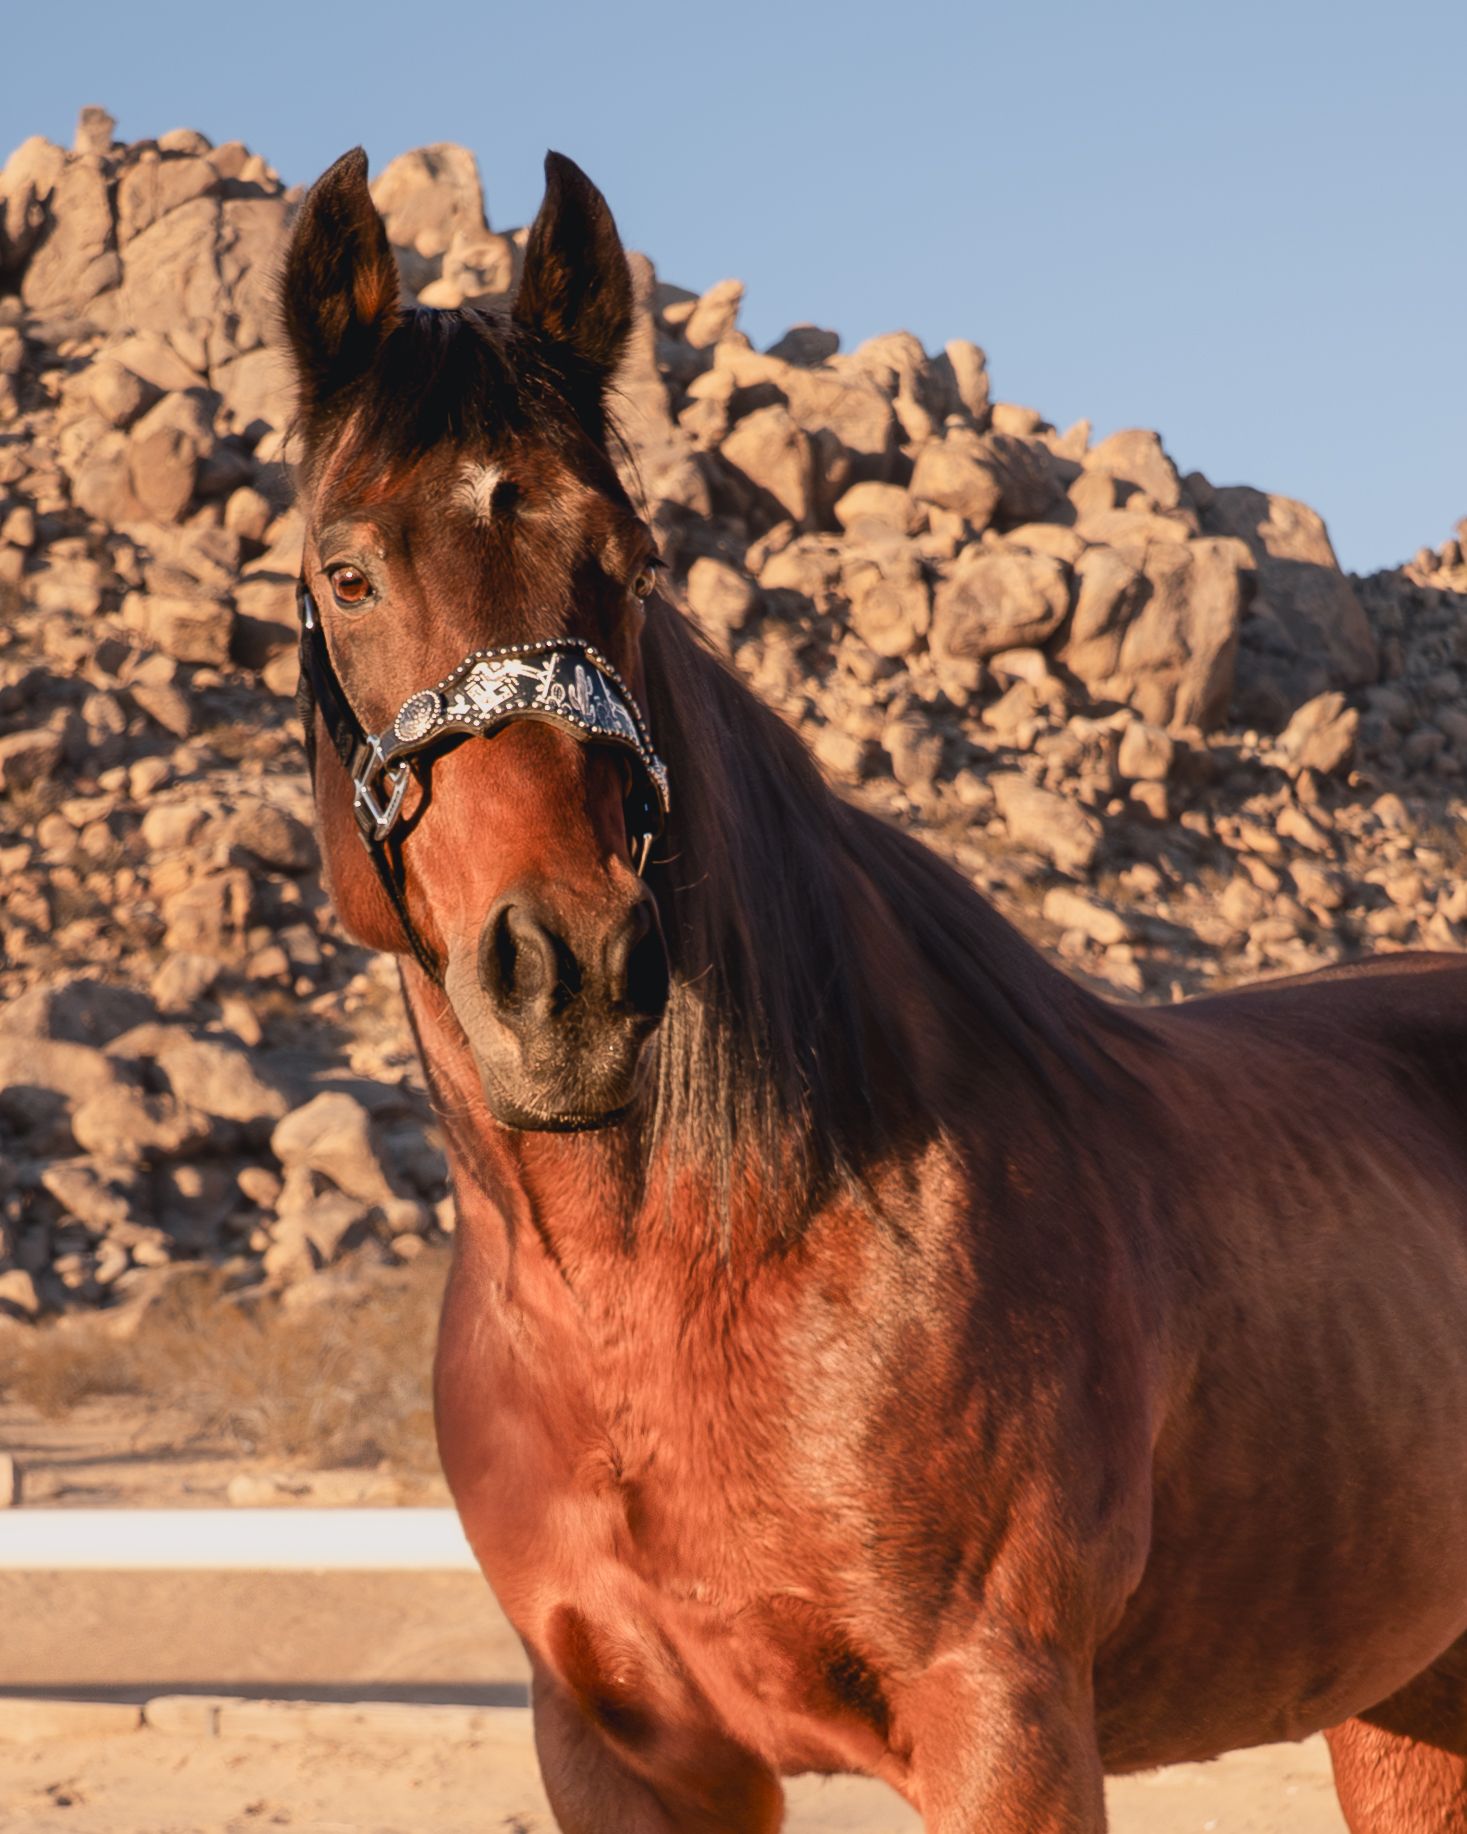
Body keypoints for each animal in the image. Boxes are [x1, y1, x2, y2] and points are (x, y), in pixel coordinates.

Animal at [279, 146, 1467, 1831]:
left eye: (628, 562)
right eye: (346, 571)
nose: (567, 977)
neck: (686, 1272)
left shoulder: (1002, 1729)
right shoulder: (620, 1754)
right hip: (1404, 1696)